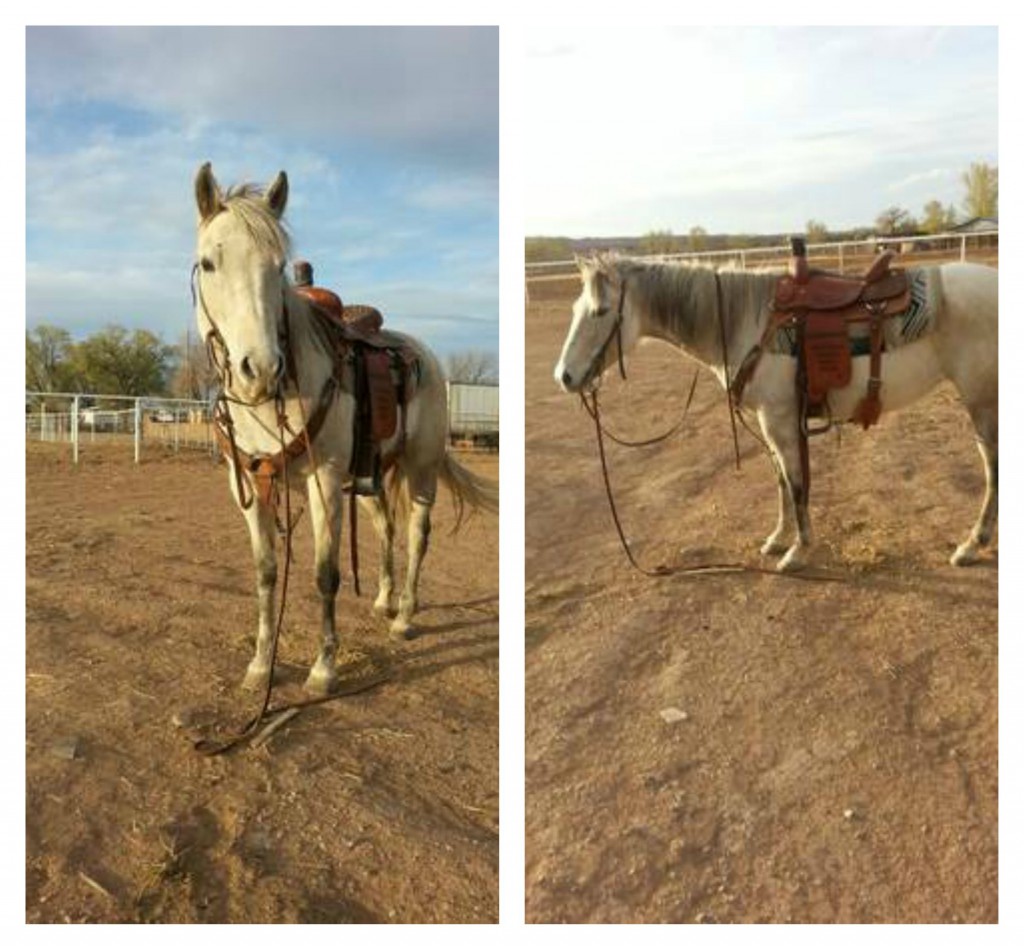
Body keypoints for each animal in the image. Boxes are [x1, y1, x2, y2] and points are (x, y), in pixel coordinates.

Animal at [193, 163, 498, 695]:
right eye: (209, 264)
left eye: (277, 267)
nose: (260, 368)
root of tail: (427, 357)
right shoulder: (249, 485)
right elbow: (266, 573)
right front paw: (260, 665)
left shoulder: (326, 482)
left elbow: (325, 575)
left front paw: (324, 668)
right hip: (372, 475)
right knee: (386, 527)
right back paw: (384, 600)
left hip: (420, 468)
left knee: (417, 533)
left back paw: (405, 617)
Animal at [554, 254, 997, 572]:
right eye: (576, 307)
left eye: (600, 311)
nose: (565, 376)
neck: (744, 325)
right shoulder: (772, 425)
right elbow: (782, 481)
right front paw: (779, 538)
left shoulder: (781, 422)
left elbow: (796, 483)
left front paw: (798, 551)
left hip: (982, 401)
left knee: (993, 468)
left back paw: (972, 545)